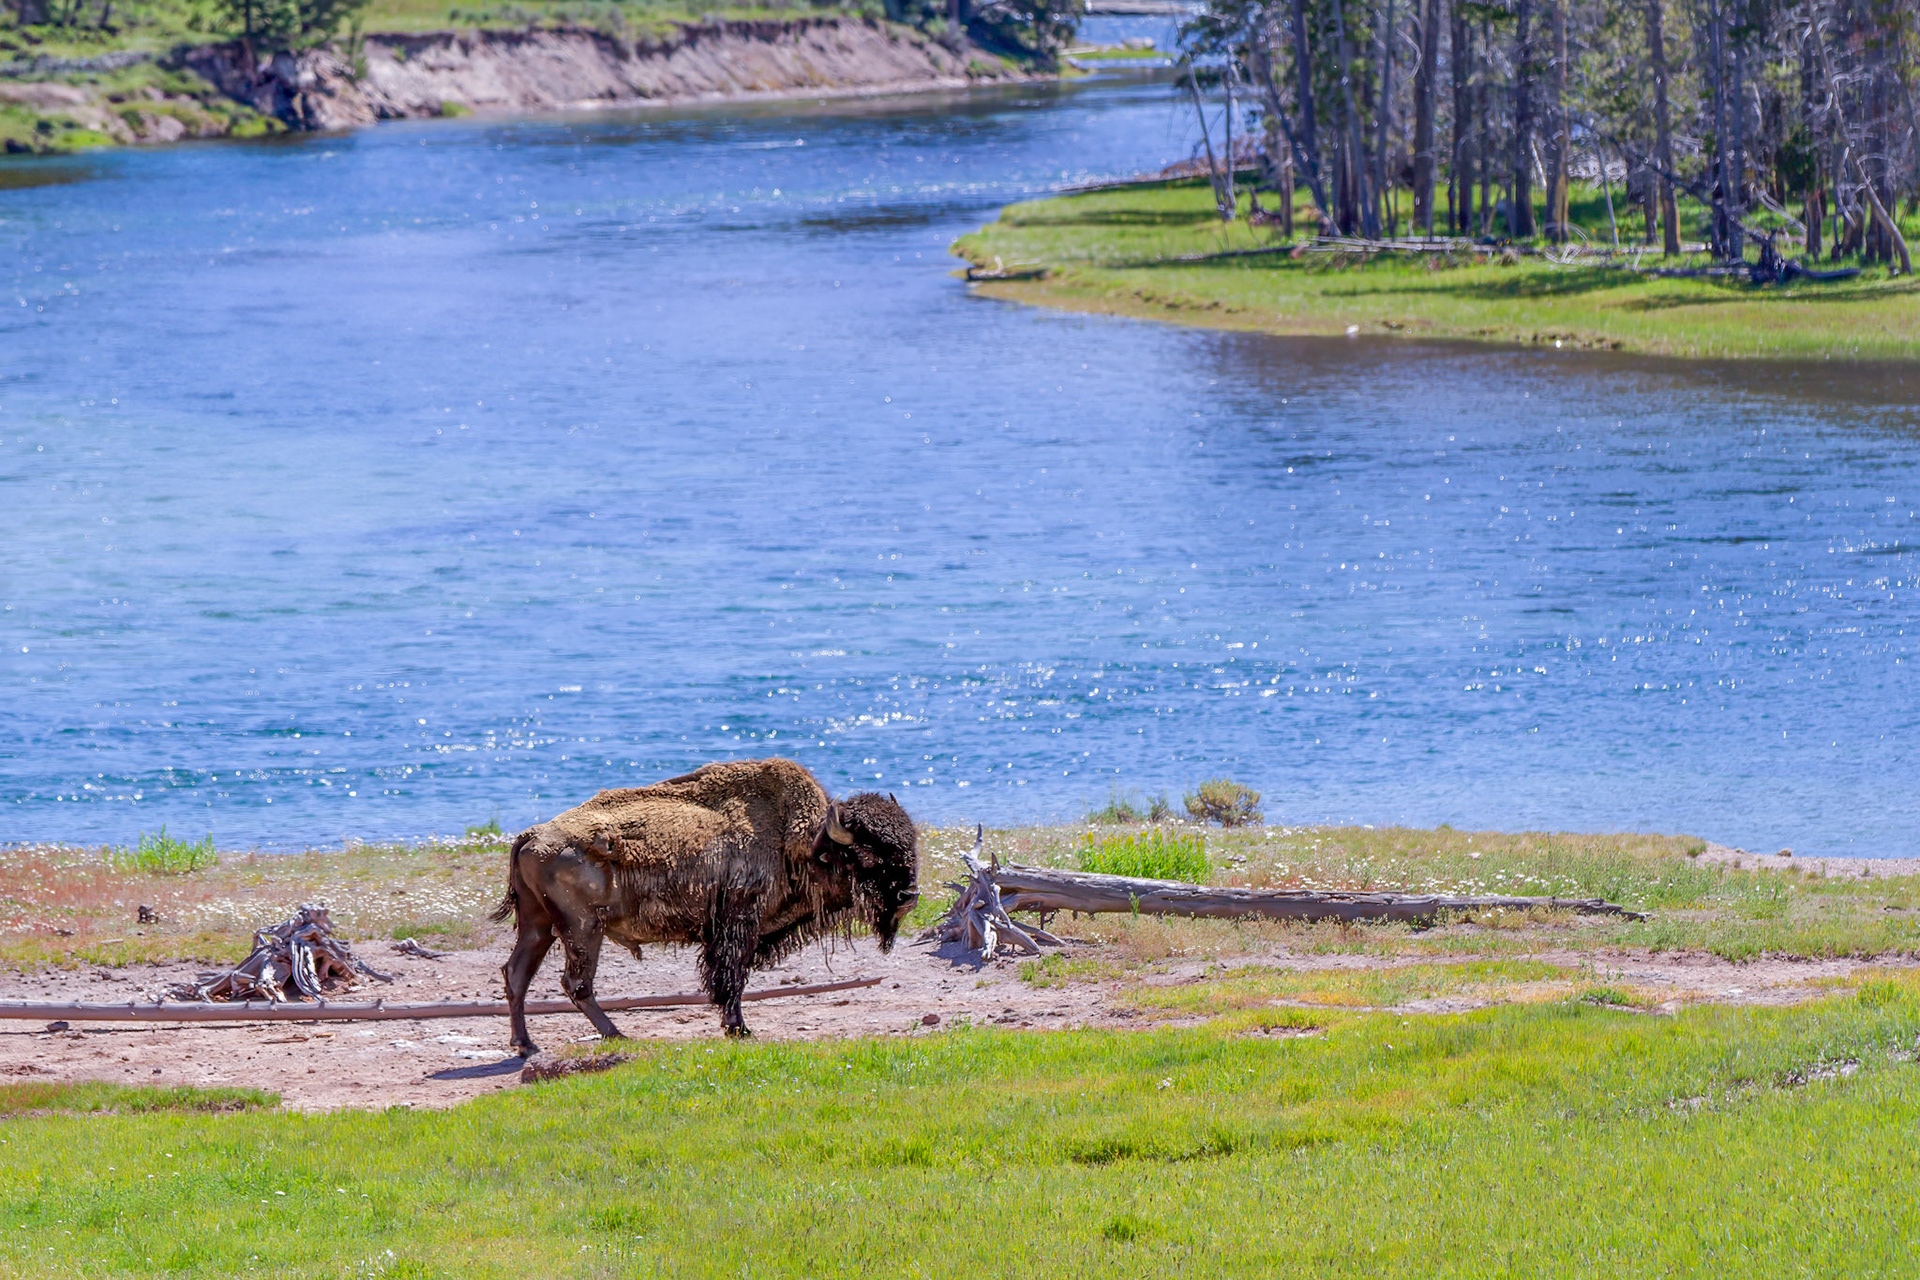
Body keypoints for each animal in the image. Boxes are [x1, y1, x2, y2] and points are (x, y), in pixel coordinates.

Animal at [492, 758, 918, 1053]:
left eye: (908, 845)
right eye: (866, 855)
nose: (909, 898)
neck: (801, 842)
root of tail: (531, 835)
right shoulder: (737, 924)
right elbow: (731, 977)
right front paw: (739, 1028)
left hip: (539, 925)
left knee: (517, 975)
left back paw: (526, 1044)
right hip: (582, 929)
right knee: (575, 983)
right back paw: (618, 1035)